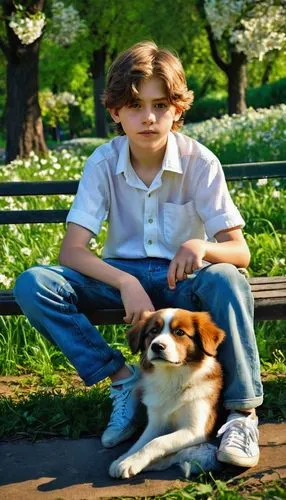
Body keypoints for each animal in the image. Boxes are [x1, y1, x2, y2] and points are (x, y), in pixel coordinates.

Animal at [109, 306, 226, 478]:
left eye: (179, 332)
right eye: (153, 331)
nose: (157, 346)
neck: (172, 379)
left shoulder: (195, 430)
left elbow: (157, 441)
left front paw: (131, 462)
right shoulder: (155, 423)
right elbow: (141, 442)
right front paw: (124, 458)